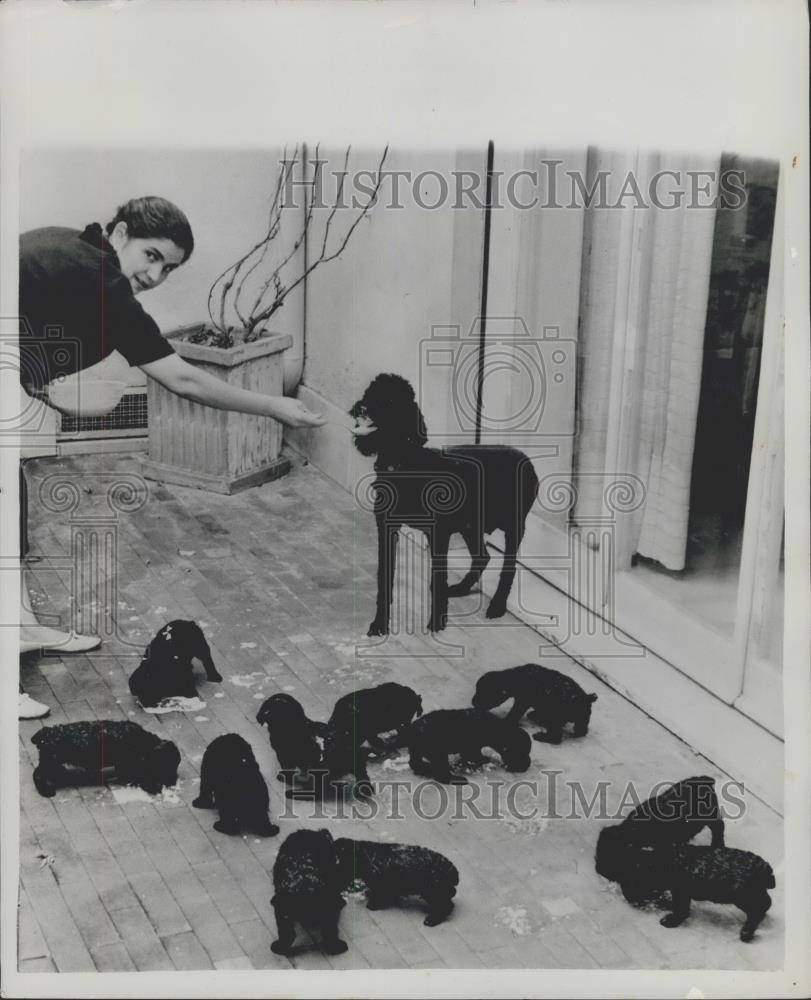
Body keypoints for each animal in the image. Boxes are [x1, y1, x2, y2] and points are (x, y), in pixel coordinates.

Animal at [30, 720, 180, 796]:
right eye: (169, 765)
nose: (174, 781)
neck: (144, 741)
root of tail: (45, 732)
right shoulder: (128, 763)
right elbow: (138, 775)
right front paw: (153, 786)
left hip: (50, 760)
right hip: (50, 761)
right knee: (37, 774)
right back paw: (46, 790)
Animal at [348, 376, 540, 632]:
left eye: (390, 401)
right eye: (368, 393)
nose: (361, 408)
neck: (405, 463)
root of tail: (525, 459)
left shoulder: (439, 534)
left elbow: (438, 578)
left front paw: (437, 622)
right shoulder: (386, 528)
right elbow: (384, 577)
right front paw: (380, 624)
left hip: (513, 525)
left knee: (508, 567)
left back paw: (497, 606)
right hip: (471, 525)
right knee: (482, 557)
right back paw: (460, 588)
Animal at [472, 664, 600, 744]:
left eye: (483, 693)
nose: (473, 702)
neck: (516, 677)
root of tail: (586, 698)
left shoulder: (522, 702)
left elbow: (514, 714)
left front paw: (506, 722)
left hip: (556, 718)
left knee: (556, 738)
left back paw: (543, 736)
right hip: (582, 718)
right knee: (581, 730)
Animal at [596, 772, 728, 900]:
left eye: (612, 855)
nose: (598, 869)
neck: (634, 830)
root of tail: (704, 779)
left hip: (711, 816)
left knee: (719, 828)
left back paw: (718, 845)